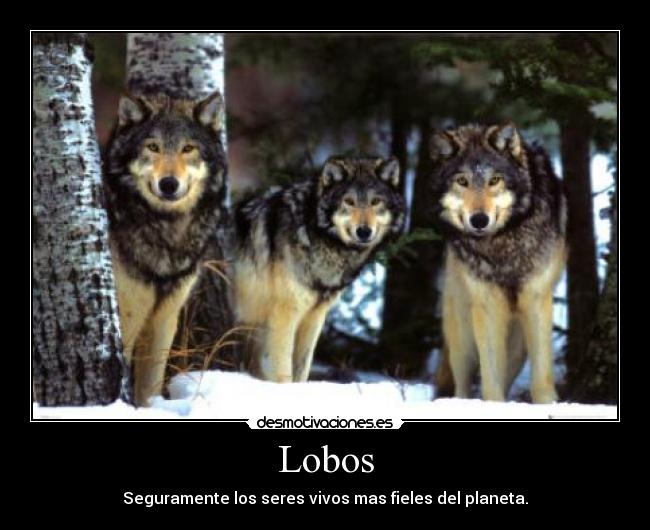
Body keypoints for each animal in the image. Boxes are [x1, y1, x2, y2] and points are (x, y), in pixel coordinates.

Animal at [103, 91, 227, 406]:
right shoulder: (128, 317)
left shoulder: (163, 318)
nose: (169, 184)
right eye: (153, 147)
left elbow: (150, 386)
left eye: (188, 148)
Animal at [233, 157, 406, 383]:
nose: (364, 231)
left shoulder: (314, 317)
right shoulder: (284, 315)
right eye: (349, 202)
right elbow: (283, 370)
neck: (312, 231)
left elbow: (302, 368)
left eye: (375, 202)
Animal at [431, 123, 567, 403]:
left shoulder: (536, 300)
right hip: (463, 334)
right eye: (462, 181)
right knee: (462, 382)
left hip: (517, 345)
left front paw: (547, 403)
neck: (502, 244)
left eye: (494, 180)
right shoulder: (487, 305)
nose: (479, 219)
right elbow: (490, 376)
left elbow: (542, 375)